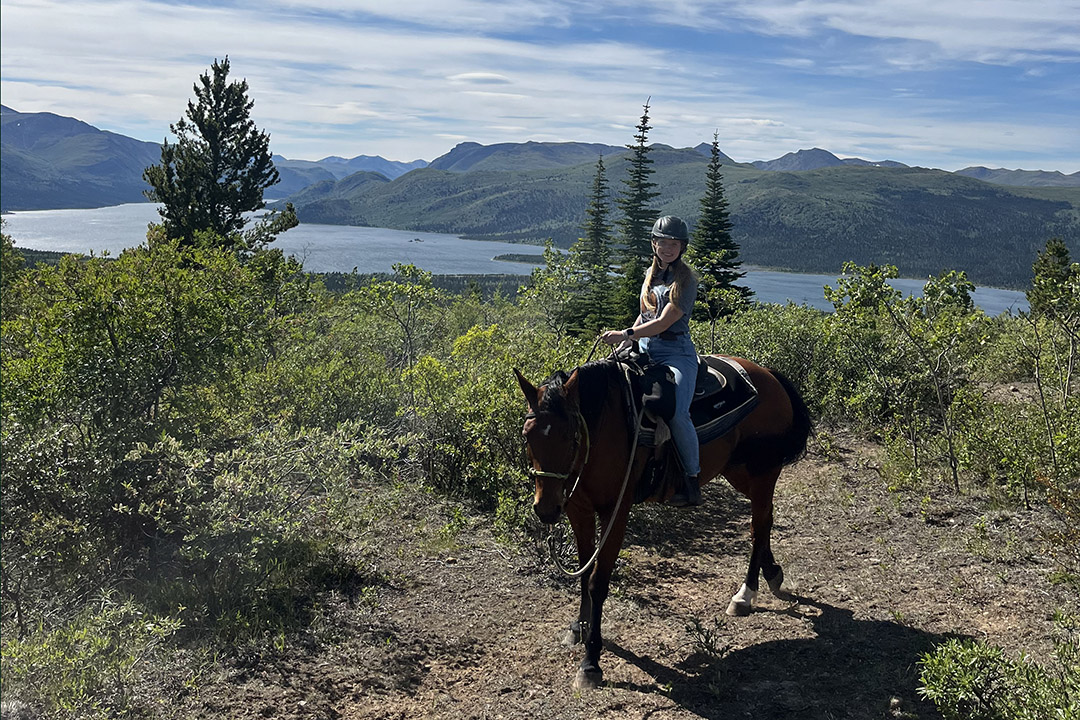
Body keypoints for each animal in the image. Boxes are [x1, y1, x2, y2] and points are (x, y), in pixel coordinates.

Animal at [514, 358, 812, 690]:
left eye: (569, 436)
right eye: (527, 435)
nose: (545, 509)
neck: (605, 426)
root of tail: (769, 375)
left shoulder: (615, 513)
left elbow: (597, 583)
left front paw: (591, 662)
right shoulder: (579, 511)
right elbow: (582, 575)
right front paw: (578, 627)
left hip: (763, 472)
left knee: (759, 524)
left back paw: (745, 595)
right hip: (737, 471)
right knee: (763, 522)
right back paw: (772, 574)